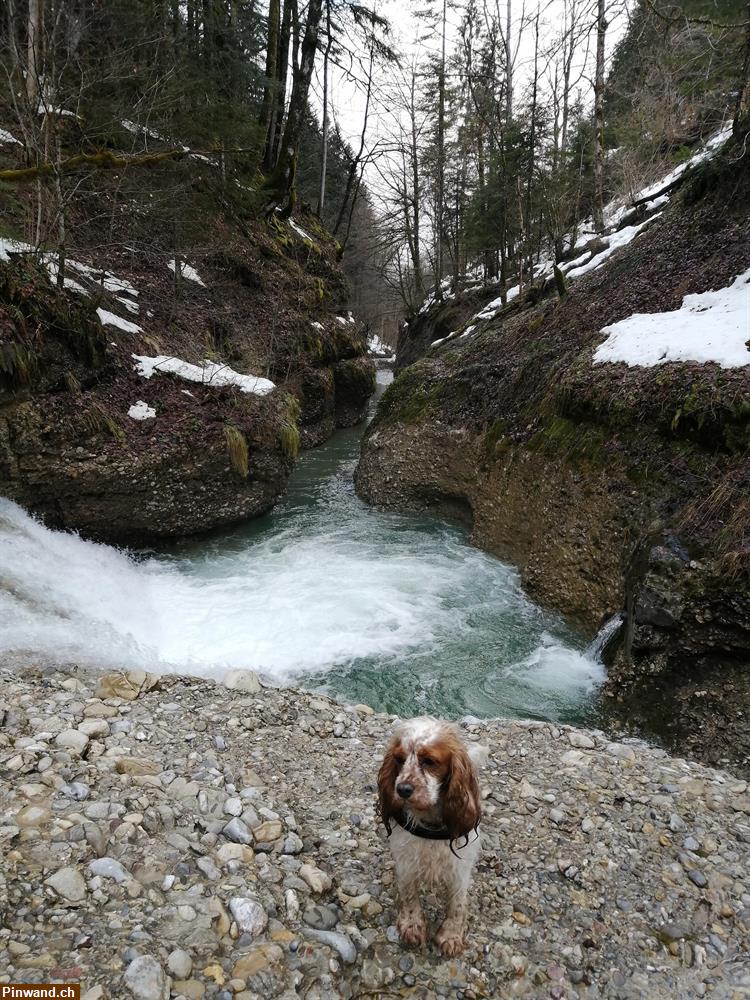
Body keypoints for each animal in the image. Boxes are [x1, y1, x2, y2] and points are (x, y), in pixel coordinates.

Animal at [378, 716, 490, 956]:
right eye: (399, 759)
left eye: (429, 761)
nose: (402, 789)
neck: (429, 821)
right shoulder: (407, 861)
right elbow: (409, 894)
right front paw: (412, 925)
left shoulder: (460, 868)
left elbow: (458, 902)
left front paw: (451, 935)